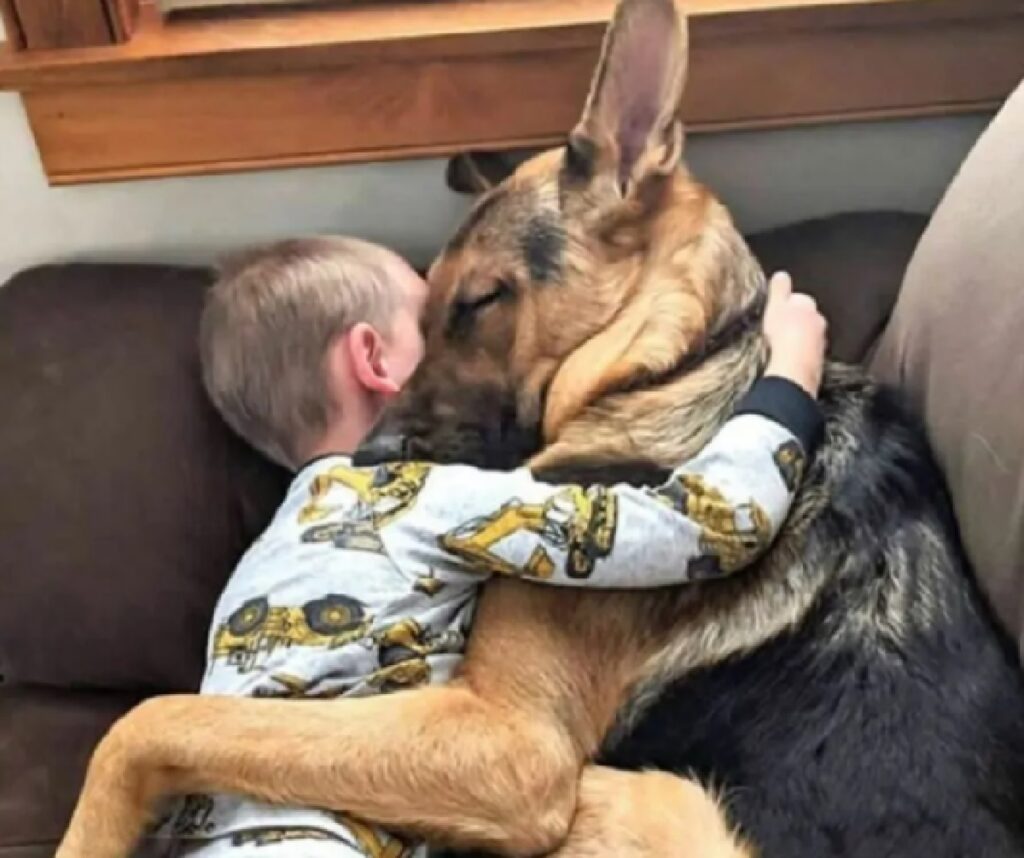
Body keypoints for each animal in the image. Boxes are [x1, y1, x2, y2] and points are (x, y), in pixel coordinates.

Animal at [56, 1, 1024, 858]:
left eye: (481, 301)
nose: (365, 461)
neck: (681, 364)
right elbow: (168, 717)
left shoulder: (513, 742)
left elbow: (157, 717)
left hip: (640, 794)